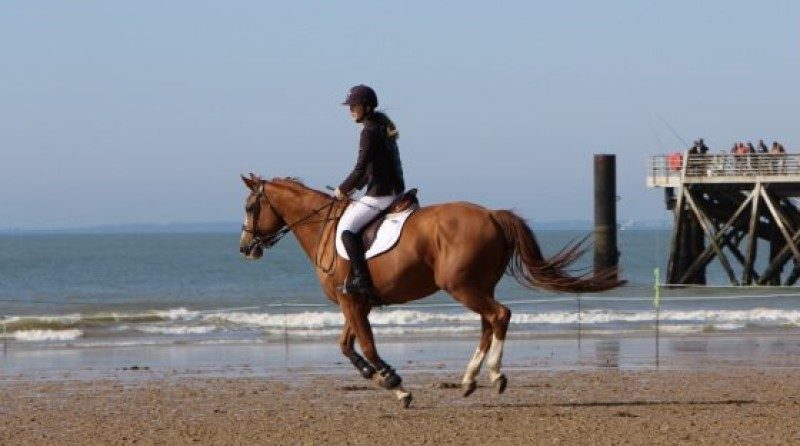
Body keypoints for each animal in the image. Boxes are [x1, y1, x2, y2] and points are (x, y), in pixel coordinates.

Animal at [238, 174, 624, 408]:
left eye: (249, 207)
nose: (244, 248)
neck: (324, 227)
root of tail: (492, 215)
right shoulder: (355, 302)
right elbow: (347, 345)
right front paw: (377, 377)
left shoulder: (351, 301)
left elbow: (366, 345)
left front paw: (396, 384)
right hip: (477, 285)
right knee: (488, 323)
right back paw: (469, 380)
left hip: (462, 286)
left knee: (499, 315)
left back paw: (495, 375)